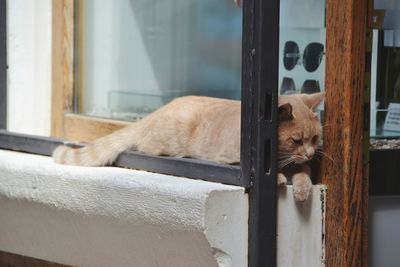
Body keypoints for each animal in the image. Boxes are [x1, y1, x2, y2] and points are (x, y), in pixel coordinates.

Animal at [53, 93, 324, 202]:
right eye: (296, 140)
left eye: (315, 139)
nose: (311, 153)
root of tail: (154, 113)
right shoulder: (232, 159)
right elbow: (271, 172)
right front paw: (278, 177)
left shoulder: (302, 164)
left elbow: (304, 173)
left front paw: (302, 189)